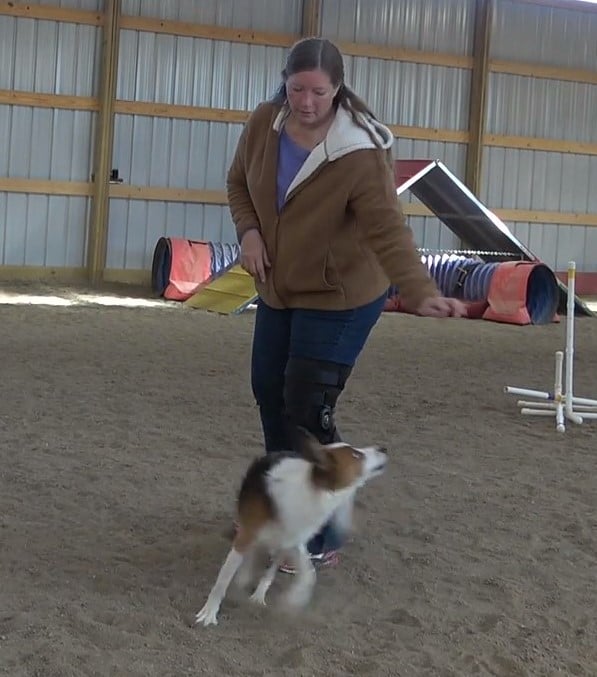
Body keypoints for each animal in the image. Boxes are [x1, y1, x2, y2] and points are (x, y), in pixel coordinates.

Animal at [193, 430, 384, 624]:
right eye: (356, 455)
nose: (382, 448)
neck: (315, 491)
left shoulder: (292, 540)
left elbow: (308, 573)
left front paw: (292, 599)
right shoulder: (246, 536)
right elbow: (223, 580)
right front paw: (209, 612)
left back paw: (258, 594)